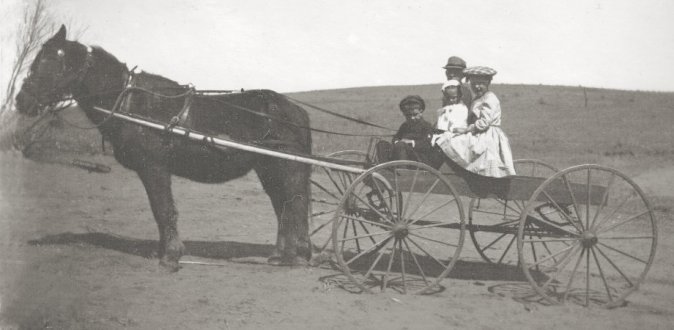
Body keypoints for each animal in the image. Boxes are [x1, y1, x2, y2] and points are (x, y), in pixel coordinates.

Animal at [13, 23, 312, 270]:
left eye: (51, 61)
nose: (21, 101)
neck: (131, 104)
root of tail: (295, 110)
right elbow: (159, 211)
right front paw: (162, 251)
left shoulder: (154, 167)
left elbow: (163, 208)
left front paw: (170, 256)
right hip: (268, 169)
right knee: (283, 206)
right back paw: (280, 254)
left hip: (286, 168)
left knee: (293, 205)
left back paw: (293, 257)